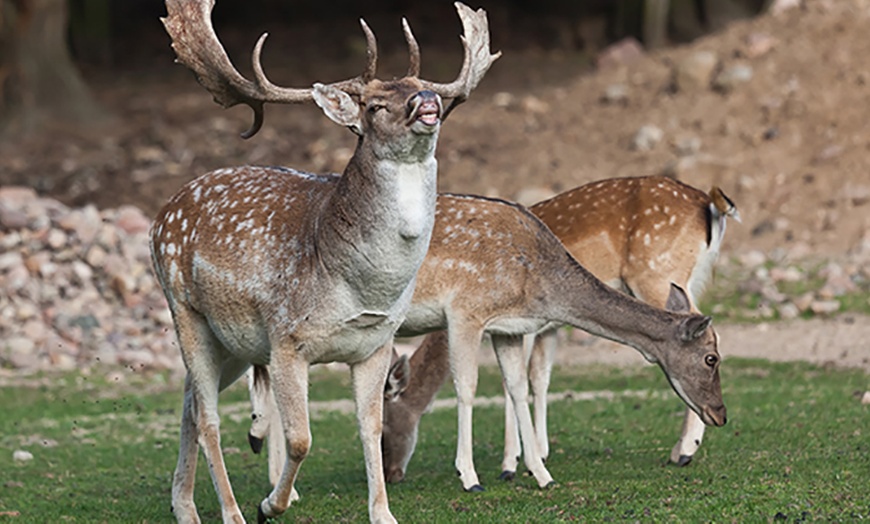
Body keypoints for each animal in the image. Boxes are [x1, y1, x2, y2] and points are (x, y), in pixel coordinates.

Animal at [153, 2, 500, 520]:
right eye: (374, 106)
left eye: (426, 87)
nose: (426, 102)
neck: (359, 288)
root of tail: (161, 215)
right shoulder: (285, 339)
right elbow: (300, 438)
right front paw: (270, 505)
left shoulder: (376, 343)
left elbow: (370, 428)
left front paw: (383, 512)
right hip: (185, 310)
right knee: (208, 415)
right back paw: (232, 511)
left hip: (231, 343)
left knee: (190, 401)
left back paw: (185, 507)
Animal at [249, 178, 732, 494]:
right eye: (712, 358)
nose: (722, 414)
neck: (537, 278)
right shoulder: (465, 311)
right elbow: (467, 388)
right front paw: (473, 475)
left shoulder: (510, 328)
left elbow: (517, 387)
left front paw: (537, 471)